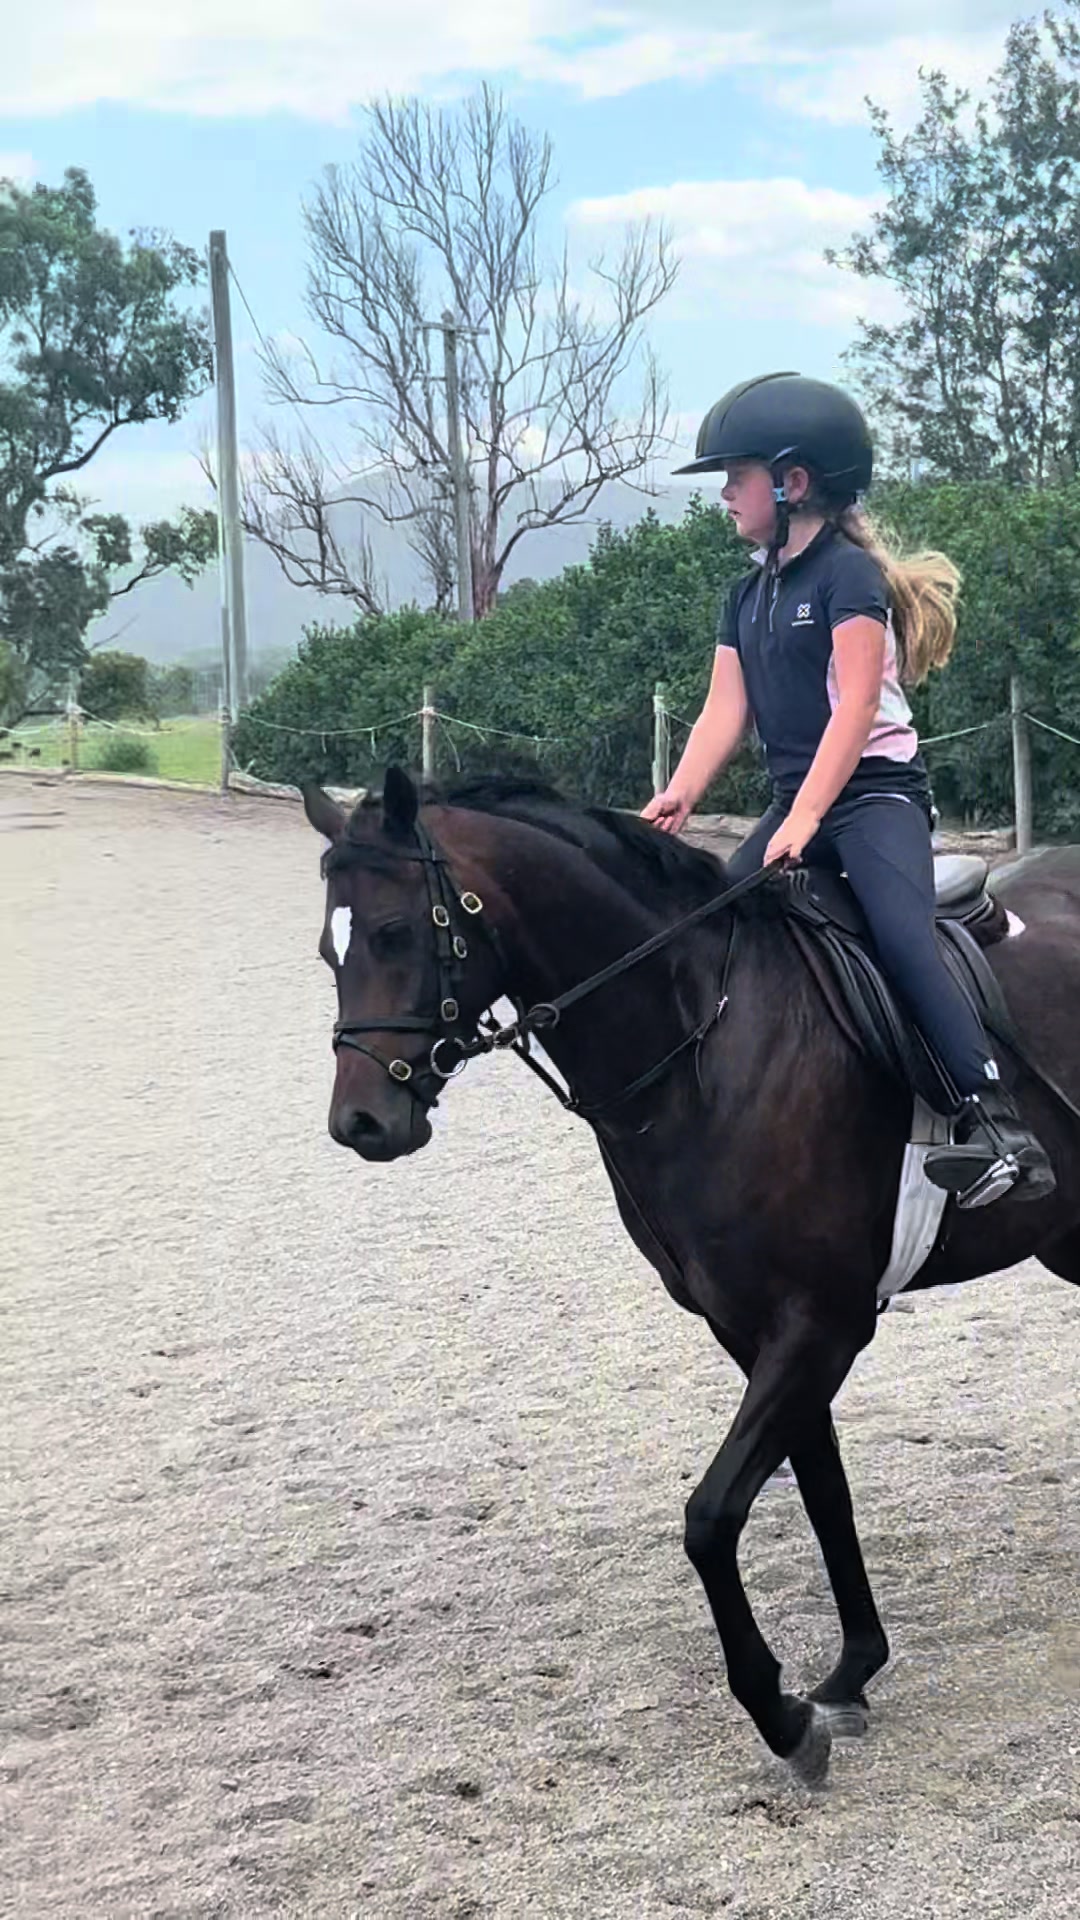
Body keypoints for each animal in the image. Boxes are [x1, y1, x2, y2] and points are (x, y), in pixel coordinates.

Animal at [302, 767, 1080, 1785]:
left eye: (394, 932)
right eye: (329, 947)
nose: (360, 1123)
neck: (702, 1041)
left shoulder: (821, 1323)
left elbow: (710, 1518)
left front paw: (780, 1714)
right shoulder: (755, 1328)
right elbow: (821, 1490)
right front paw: (850, 1673)